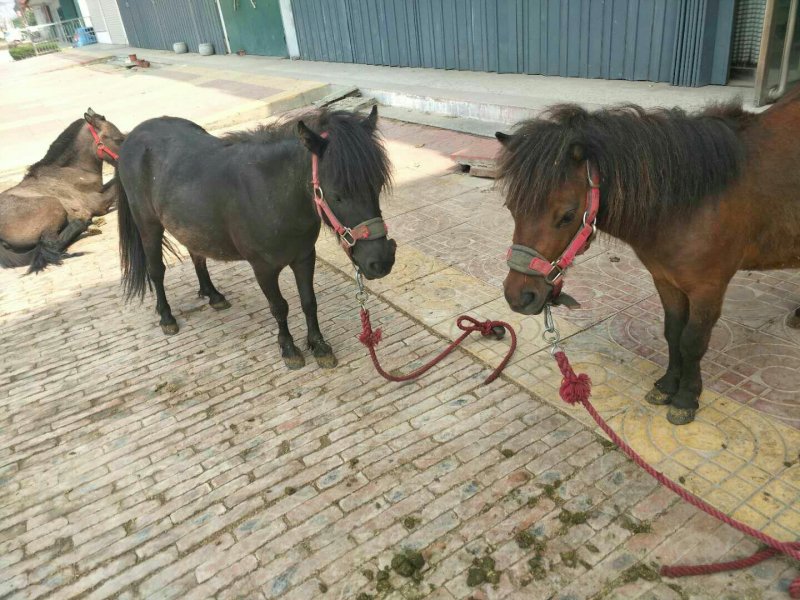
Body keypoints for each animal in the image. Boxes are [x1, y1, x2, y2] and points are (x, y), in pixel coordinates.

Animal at [0, 109, 123, 273]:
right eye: (118, 139)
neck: (70, 171)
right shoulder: (99, 203)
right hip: (53, 205)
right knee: (51, 243)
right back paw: (84, 224)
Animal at [115, 106, 396, 370]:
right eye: (337, 194)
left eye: (377, 184)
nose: (381, 262)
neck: (271, 193)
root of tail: (131, 137)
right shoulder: (263, 268)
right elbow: (279, 306)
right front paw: (289, 349)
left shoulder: (305, 257)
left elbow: (309, 301)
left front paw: (319, 346)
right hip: (148, 226)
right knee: (156, 270)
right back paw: (167, 317)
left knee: (197, 255)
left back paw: (213, 295)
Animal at [495, 85, 800, 426]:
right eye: (511, 207)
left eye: (567, 215)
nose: (518, 297)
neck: (693, 200)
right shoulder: (666, 280)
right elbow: (673, 332)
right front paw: (667, 386)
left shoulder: (708, 288)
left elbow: (693, 341)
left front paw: (686, 398)